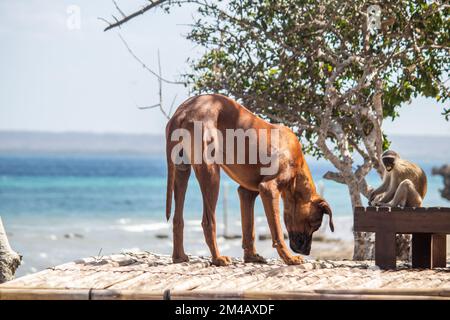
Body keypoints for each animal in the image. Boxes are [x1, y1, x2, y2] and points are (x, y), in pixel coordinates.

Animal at [166, 94, 334, 266]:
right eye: (315, 224)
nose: (307, 251)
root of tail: (183, 112)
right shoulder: (269, 189)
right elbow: (277, 232)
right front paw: (289, 258)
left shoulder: (247, 193)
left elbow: (249, 229)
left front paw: (251, 256)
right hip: (211, 173)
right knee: (208, 222)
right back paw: (217, 258)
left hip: (181, 170)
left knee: (178, 218)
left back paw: (179, 256)